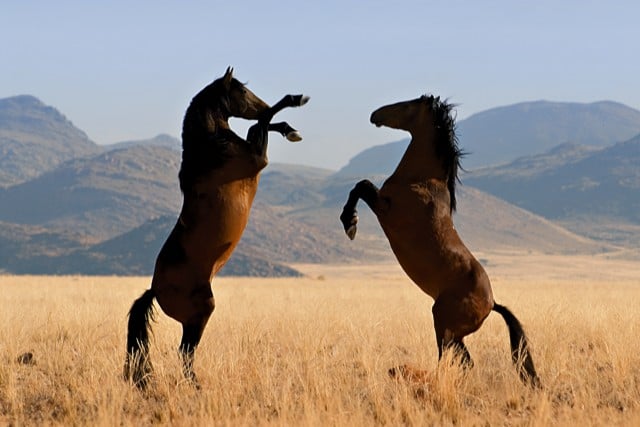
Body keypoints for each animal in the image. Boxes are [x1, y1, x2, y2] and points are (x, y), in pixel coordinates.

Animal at [124, 67, 309, 388]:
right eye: (242, 91)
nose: (259, 102)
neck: (211, 148)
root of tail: (154, 290)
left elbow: (261, 124)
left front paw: (290, 129)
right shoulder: (258, 158)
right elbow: (263, 121)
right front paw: (296, 100)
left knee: (185, 351)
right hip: (201, 312)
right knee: (185, 351)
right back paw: (196, 386)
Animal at [339, 95, 540, 387]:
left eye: (406, 104)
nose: (375, 114)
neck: (421, 180)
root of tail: (492, 304)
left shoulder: (386, 209)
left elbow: (362, 185)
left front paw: (350, 223)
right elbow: (360, 185)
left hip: (443, 323)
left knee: (450, 359)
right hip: (454, 333)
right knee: (464, 361)